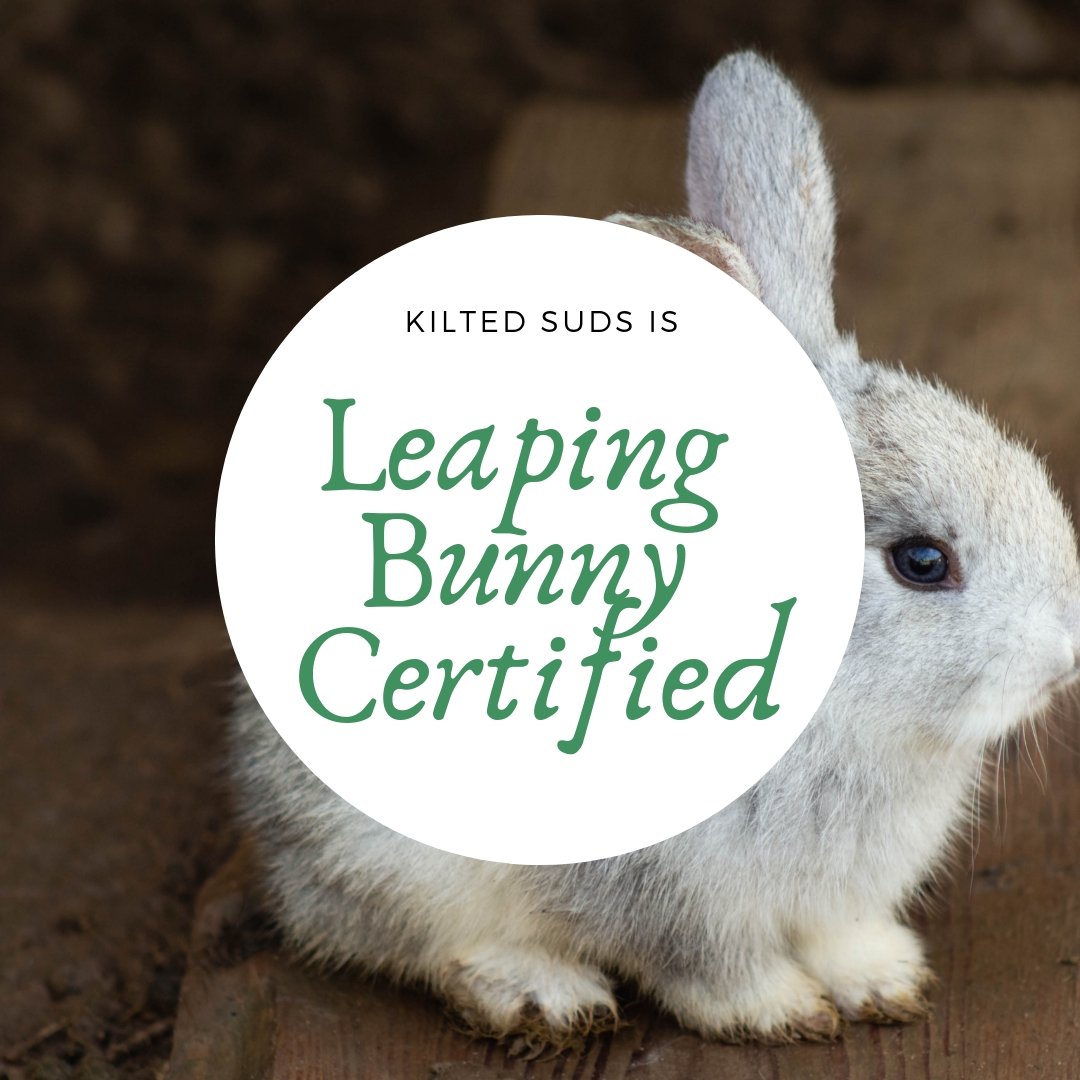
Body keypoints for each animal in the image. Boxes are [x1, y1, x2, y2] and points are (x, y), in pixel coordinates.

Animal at [228, 50, 1080, 1045]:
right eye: (922, 562)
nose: (1066, 658)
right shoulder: (665, 890)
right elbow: (707, 966)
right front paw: (780, 1012)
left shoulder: (836, 893)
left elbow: (841, 934)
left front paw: (882, 981)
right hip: (394, 859)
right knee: (416, 943)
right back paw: (540, 992)